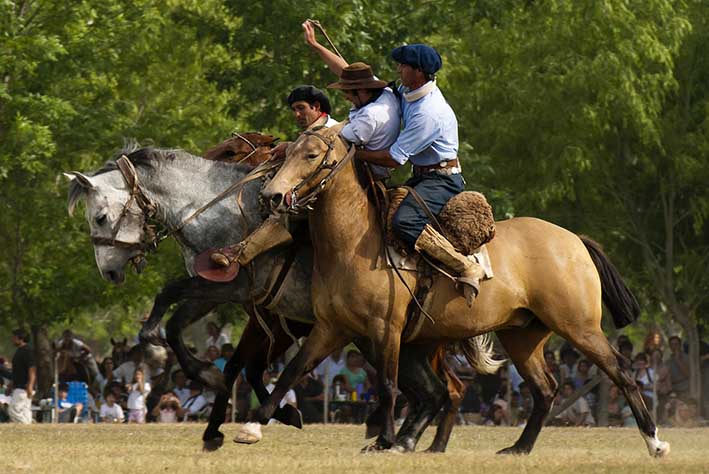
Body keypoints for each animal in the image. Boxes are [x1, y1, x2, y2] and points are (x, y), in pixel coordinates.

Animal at [66, 146, 498, 454]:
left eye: (100, 216)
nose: (109, 272)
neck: (212, 208)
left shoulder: (234, 289)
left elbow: (177, 308)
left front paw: (204, 377)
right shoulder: (227, 297)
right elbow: (184, 327)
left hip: (391, 340)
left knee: (440, 390)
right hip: (396, 343)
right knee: (438, 391)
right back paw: (413, 440)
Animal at [256, 122, 668, 456]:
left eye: (311, 155)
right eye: (286, 151)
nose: (271, 195)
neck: (355, 241)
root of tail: (574, 240)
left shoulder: (385, 328)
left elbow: (388, 385)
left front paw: (386, 439)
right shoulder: (332, 328)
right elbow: (292, 371)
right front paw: (252, 426)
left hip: (579, 327)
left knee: (621, 371)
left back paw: (655, 441)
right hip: (522, 335)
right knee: (543, 388)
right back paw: (518, 448)